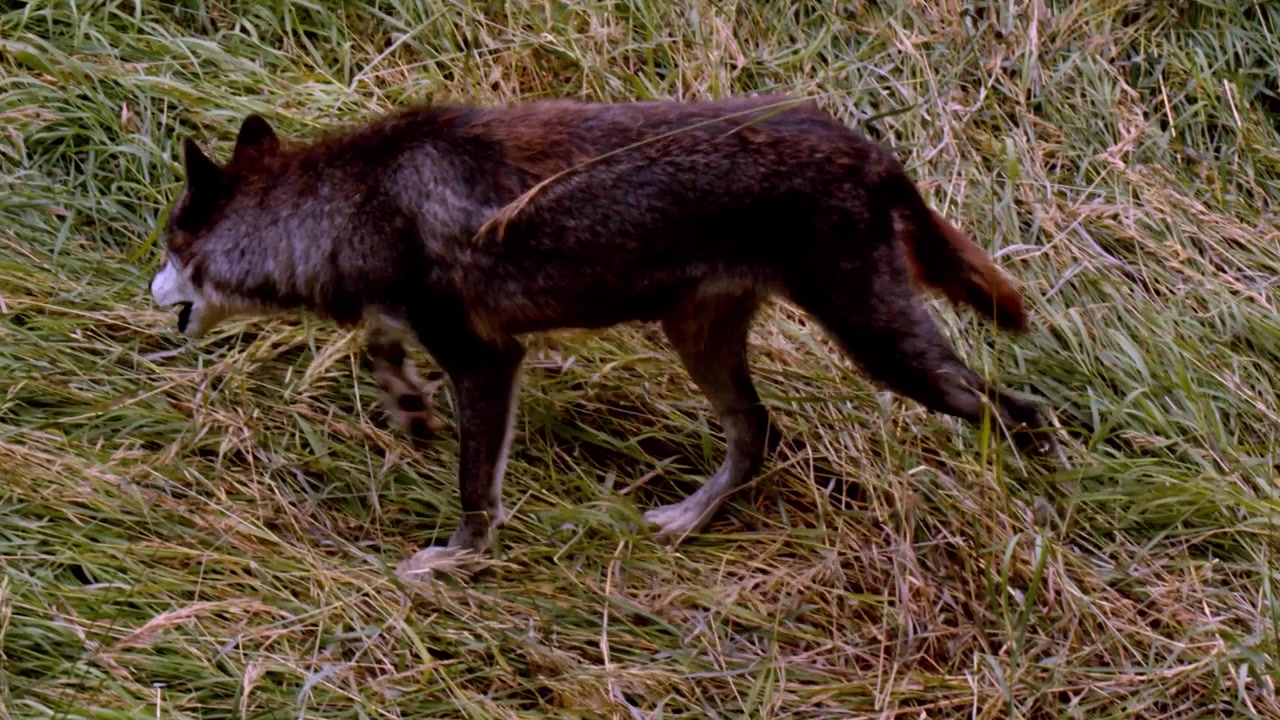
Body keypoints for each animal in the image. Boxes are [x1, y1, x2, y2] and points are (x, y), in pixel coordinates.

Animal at [148, 95, 1058, 582]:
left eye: (165, 244)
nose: (146, 292)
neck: (349, 206)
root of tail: (870, 150)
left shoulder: (488, 359)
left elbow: (475, 491)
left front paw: (456, 562)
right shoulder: (431, 334)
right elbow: (381, 347)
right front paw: (406, 407)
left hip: (881, 348)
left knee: (1021, 412)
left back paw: (1036, 508)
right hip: (699, 337)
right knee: (761, 432)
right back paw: (686, 520)